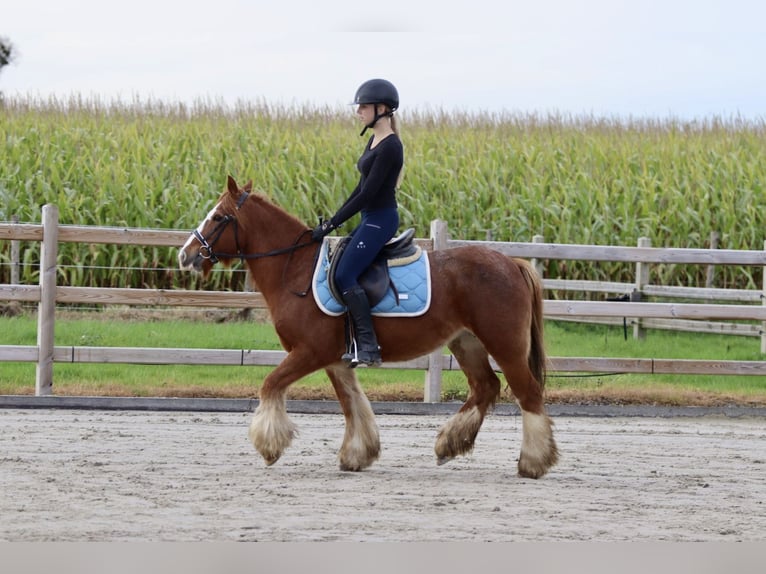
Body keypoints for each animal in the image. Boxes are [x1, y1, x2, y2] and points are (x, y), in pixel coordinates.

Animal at [183, 177, 560, 482]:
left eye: (219, 217)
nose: (185, 255)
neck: (296, 269)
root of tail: (512, 262)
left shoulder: (310, 352)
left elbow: (270, 385)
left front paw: (270, 446)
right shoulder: (335, 359)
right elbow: (353, 403)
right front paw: (358, 454)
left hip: (504, 344)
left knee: (527, 393)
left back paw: (532, 463)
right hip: (466, 342)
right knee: (485, 387)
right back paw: (448, 445)